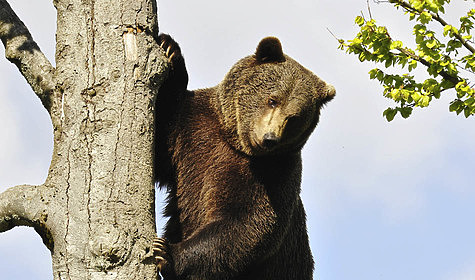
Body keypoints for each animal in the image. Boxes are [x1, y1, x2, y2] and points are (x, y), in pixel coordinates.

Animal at [152, 33, 334, 280]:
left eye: (294, 117)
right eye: (272, 100)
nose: (269, 138)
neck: (235, 142)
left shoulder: (273, 173)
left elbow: (247, 222)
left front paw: (167, 253)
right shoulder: (190, 132)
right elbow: (160, 140)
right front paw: (169, 49)